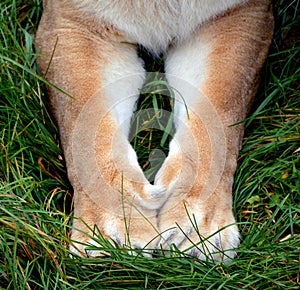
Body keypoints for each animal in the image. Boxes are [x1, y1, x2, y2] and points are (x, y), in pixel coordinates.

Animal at [35, 0, 274, 262]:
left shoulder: (233, 15)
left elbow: (218, 112)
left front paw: (197, 230)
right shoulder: (72, 22)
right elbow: (86, 126)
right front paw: (111, 233)